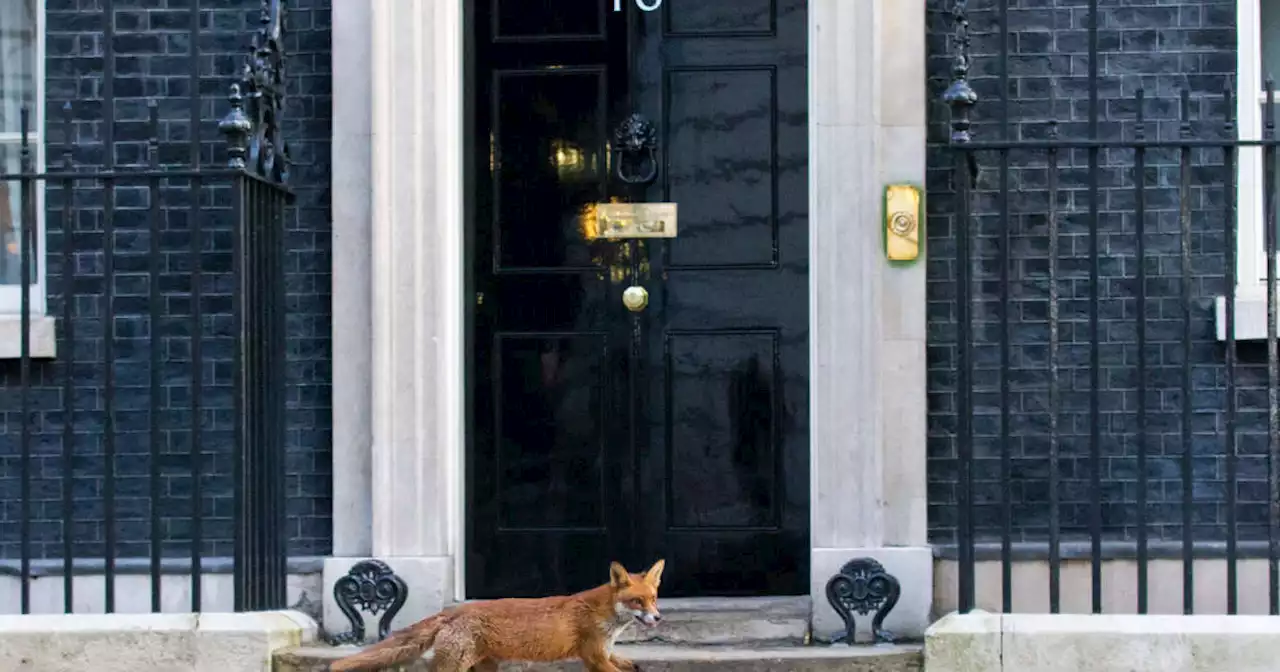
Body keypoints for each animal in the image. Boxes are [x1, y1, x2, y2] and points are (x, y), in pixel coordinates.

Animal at [327, 555, 670, 670]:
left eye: (654, 599)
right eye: (637, 602)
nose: (657, 618)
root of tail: (456, 610)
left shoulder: (606, 654)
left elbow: (632, 666)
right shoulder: (593, 656)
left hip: (484, 667)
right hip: (454, 666)